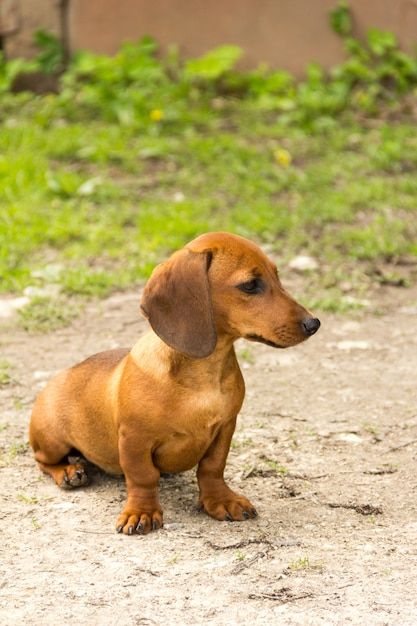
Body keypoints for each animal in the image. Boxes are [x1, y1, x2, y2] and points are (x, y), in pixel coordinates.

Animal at [29, 232, 320, 532]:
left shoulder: (225, 428)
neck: (204, 374)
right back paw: (68, 471)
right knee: (42, 460)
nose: (314, 324)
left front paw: (221, 500)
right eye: (250, 285)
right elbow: (143, 477)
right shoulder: (134, 440)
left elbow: (213, 468)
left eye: (277, 276)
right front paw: (141, 511)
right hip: (52, 440)